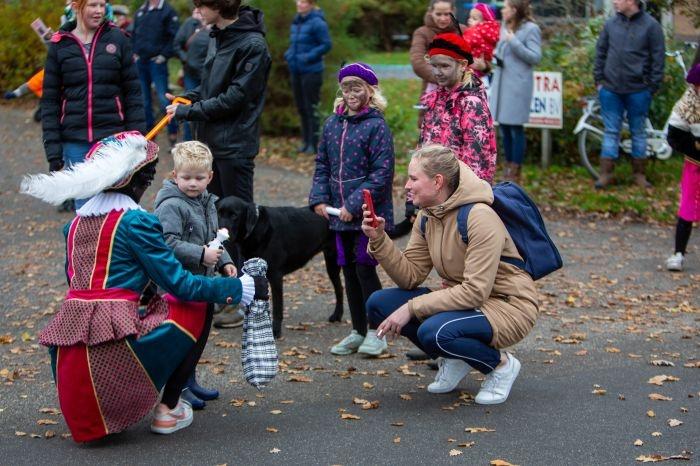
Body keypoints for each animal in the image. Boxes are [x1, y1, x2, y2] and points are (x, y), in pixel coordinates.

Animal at [216, 197, 342, 338]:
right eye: (219, 213)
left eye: (234, 216)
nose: (218, 230)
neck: (256, 229)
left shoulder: (276, 276)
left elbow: (277, 308)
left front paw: (275, 331)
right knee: (339, 288)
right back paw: (337, 315)